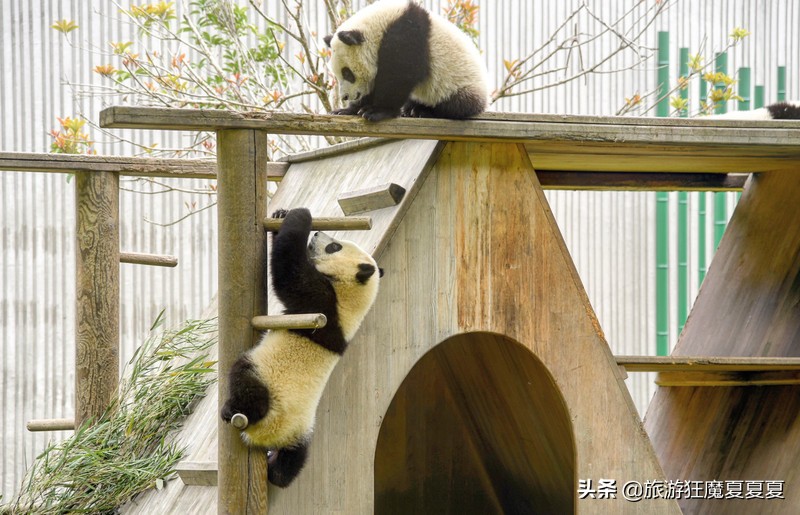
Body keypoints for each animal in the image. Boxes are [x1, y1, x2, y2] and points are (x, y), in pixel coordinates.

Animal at [219, 207, 382, 488]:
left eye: (335, 246)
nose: (316, 234)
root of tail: (271, 434)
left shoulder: (323, 303)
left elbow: (290, 274)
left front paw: (300, 216)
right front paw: (281, 214)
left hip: (265, 378)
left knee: (247, 383)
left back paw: (233, 410)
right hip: (302, 432)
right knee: (291, 465)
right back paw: (276, 471)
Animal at [324, 0, 488, 122]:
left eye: (347, 73)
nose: (345, 97)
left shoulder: (406, 37)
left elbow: (400, 76)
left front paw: (375, 111)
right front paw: (346, 110)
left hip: (459, 84)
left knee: (455, 105)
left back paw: (421, 111)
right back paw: (410, 109)